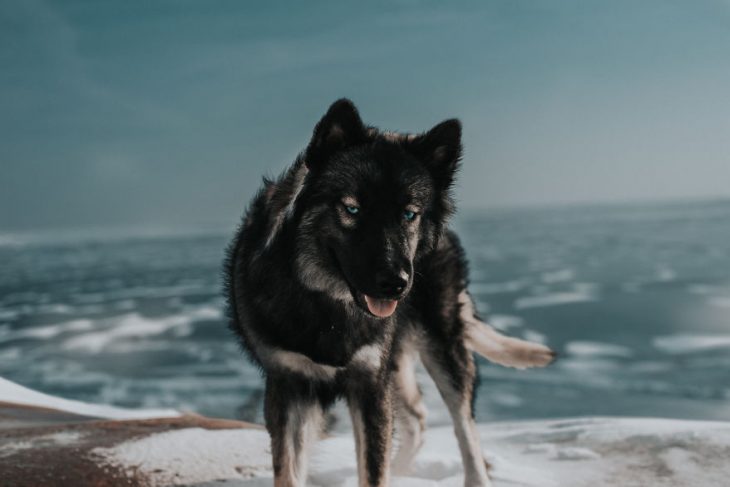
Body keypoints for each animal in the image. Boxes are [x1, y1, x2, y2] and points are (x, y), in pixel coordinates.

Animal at [222, 100, 552, 487]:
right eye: (352, 209)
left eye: (409, 214)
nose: (396, 283)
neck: (328, 306)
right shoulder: (289, 385)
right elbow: (289, 471)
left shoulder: (370, 385)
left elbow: (374, 469)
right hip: (396, 366)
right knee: (420, 417)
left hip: (440, 348)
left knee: (463, 426)